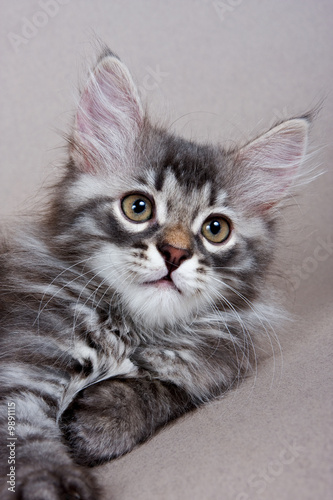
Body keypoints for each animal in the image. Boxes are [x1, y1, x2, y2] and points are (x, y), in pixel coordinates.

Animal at [0, 47, 308, 500]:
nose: (175, 253)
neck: (129, 330)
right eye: (137, 207)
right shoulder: (21, 366)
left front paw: (98, 422)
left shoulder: (210, 369)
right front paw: (51, 484)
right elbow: (24, 436)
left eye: (216, 229)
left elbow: (164, 389)